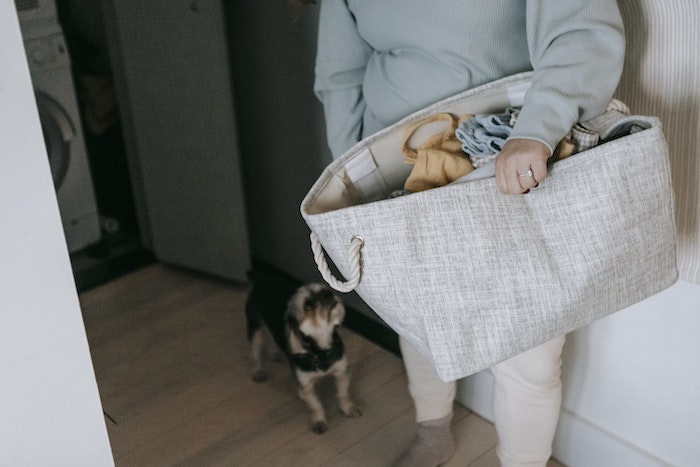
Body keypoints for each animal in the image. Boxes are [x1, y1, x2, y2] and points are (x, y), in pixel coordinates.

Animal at [245, 270, 361, 433]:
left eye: (325, 290)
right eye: (308, 306)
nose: (329, 294)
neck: (320, 351)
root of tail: (259, 277)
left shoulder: (341, 371)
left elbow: (343, 393)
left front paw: (348, 409)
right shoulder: (305, 386)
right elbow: (315, 405)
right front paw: (319, 421)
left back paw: (275, 354)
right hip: (255, 327)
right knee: (256, 350)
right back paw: (258, 371)